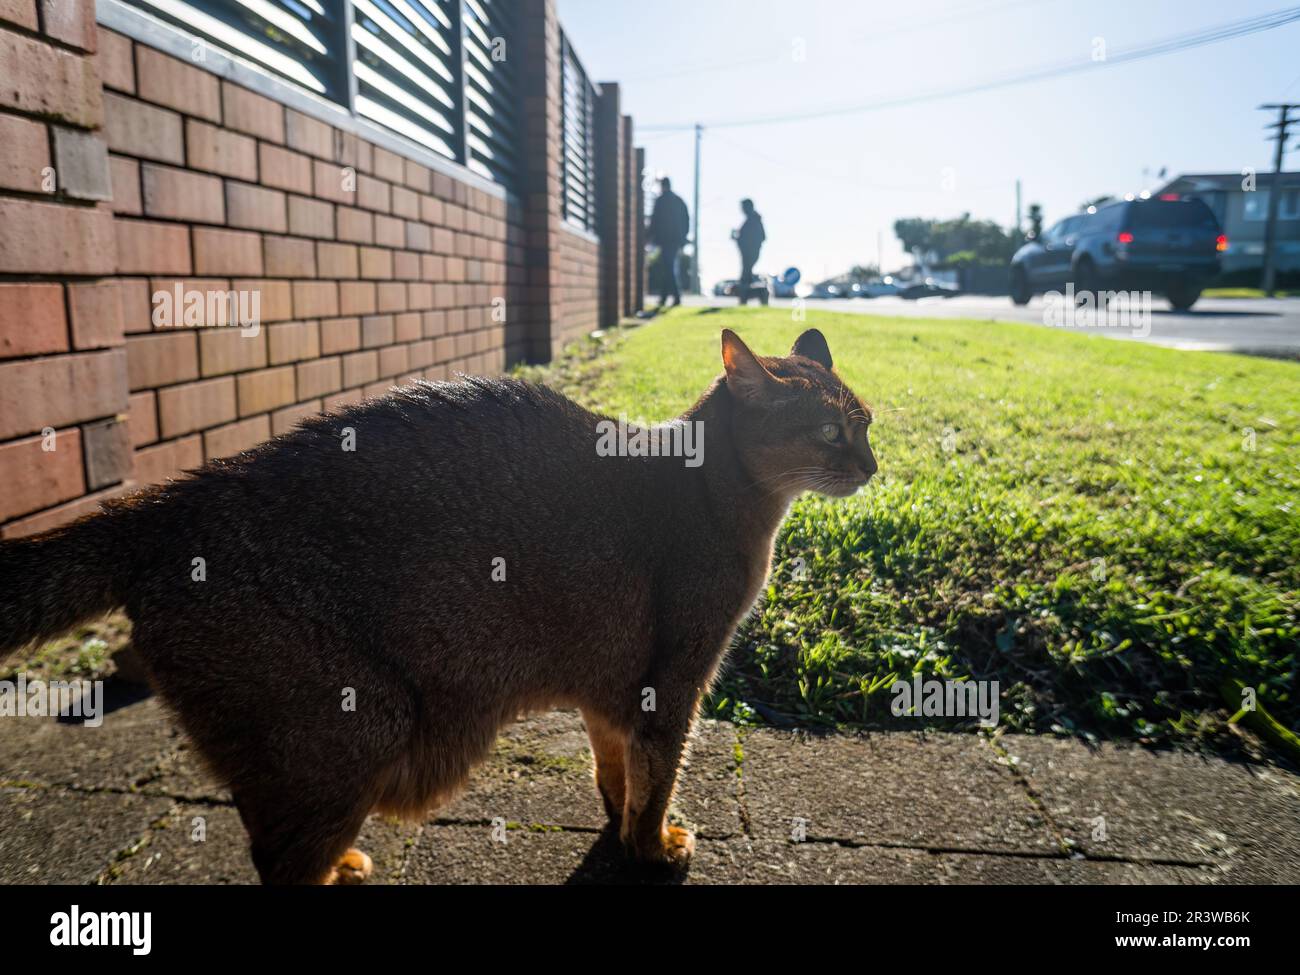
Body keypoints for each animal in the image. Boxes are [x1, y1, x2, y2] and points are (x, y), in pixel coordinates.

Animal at [0, 330, 878, 883]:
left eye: (865, 421)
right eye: (829, 431)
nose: (871, 465)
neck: (713, 491)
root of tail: (168, 501)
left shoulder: (609, 682)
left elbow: (615, 765)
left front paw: (619, 820)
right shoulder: (677, 677)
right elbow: (657, 774)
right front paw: (653, 847)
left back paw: (343, 865)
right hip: (356, 723)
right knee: (278, 860)